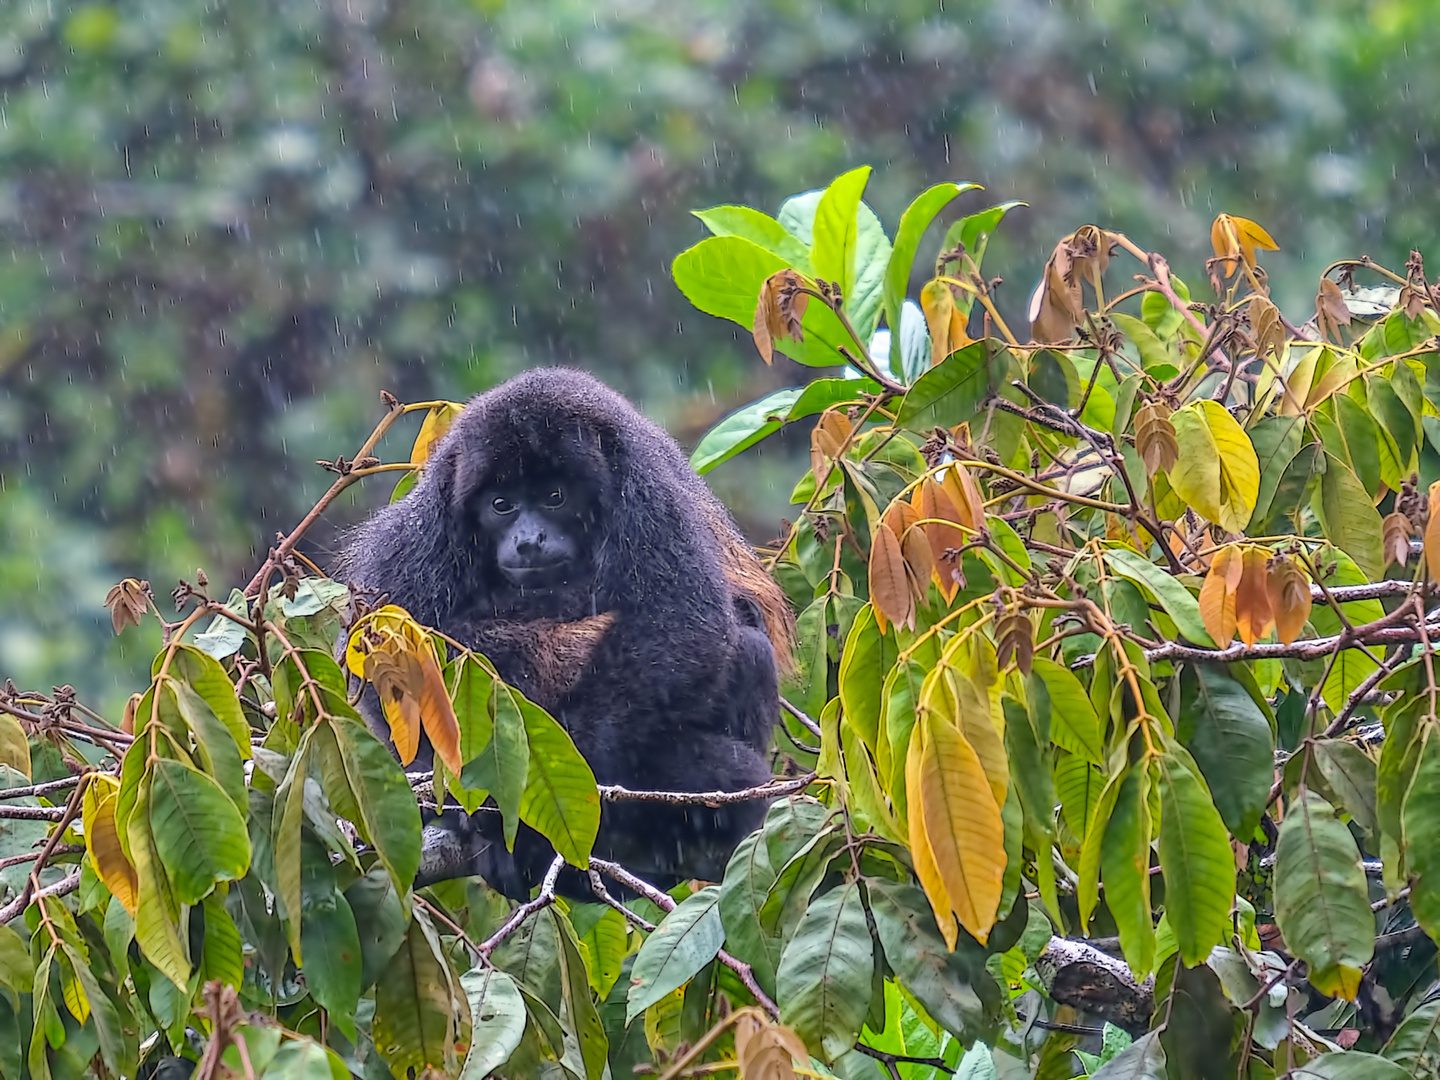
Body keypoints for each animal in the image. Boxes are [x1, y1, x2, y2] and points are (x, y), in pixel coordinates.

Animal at [332, 368, 794, 898]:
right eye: (501, 505)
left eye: (555, 497)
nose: (529, 540)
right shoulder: (430, 518)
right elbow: (381, 651)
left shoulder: (645, 491)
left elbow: (683, 622)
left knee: (748, 646)